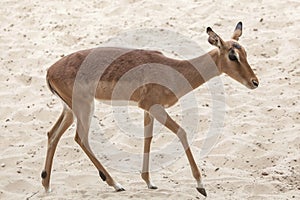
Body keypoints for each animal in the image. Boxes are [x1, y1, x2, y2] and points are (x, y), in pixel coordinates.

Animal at [41, 21, 258, 197]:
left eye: (245, 53)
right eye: (232, 55)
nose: (254, 82)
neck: (175, 71)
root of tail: (49, 71)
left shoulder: (148, 110)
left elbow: (148, 138)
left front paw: (149, 182)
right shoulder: (156, 108)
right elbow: (182, 132)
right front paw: (200, 185)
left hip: (70, 110)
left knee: (53, 134)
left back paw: (47, 185)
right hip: (84, 107)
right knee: (80, 138)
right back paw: (116, 184)